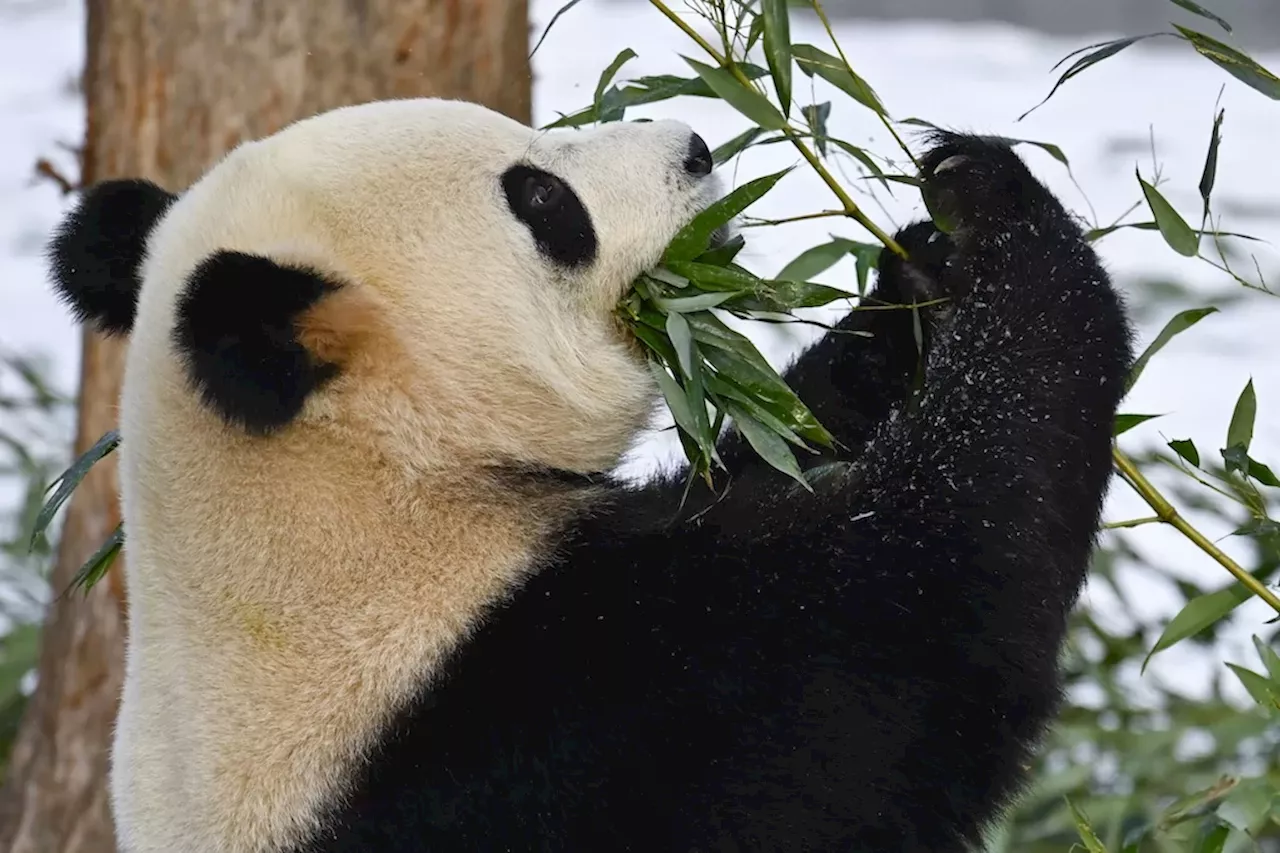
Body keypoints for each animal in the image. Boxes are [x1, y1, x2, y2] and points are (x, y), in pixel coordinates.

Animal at [47, 96, 1131, 845]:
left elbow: (772, 448)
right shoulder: (561, 716)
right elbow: (935, 604)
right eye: (541, 200)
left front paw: (919, 272)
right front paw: (995, 211)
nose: (695, 147)